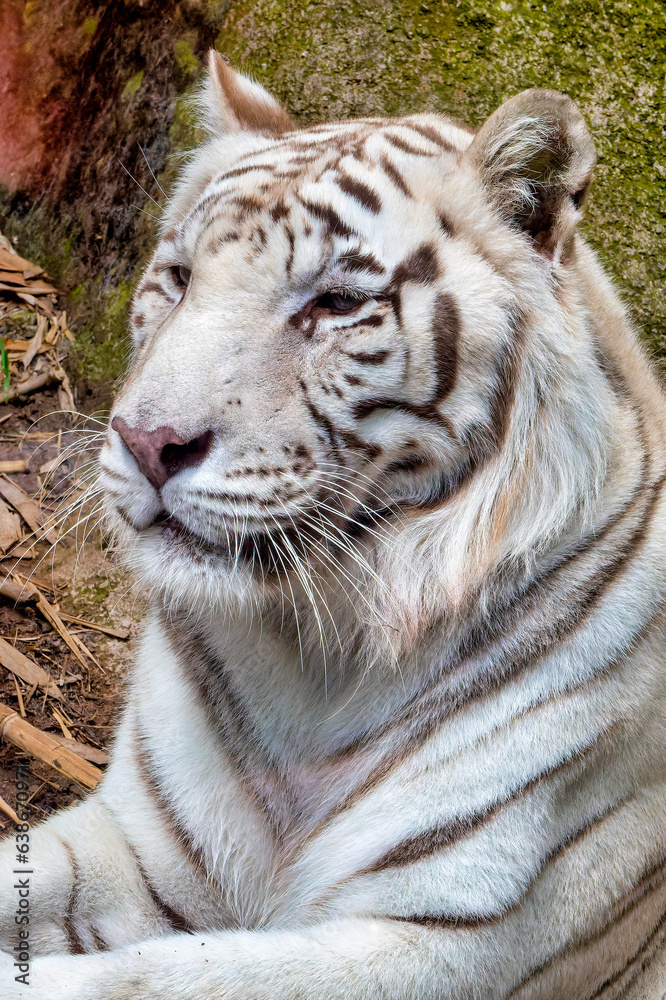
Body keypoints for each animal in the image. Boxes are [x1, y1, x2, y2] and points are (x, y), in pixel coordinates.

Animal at [1, 48, 666, 1000]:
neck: (314, 658)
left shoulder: (448, 943)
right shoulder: (137, 848)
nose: (147, 441)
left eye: (336, 303)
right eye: (179, 279)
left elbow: (150, 981)